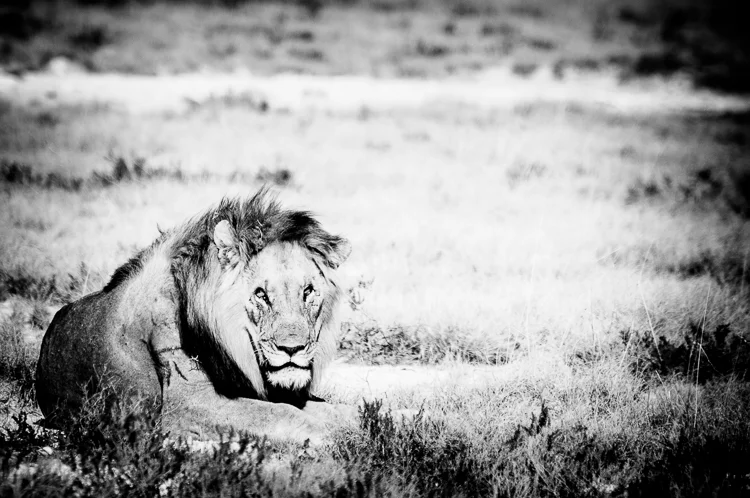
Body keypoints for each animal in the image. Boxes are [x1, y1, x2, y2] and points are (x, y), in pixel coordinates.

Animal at [36, 189, 356, 443]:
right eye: (261, 294)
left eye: (308, 291)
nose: (293, 349)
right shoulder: (188, 400)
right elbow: (284, 415)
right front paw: (340, 438)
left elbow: (335, 409)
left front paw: (359, 424)